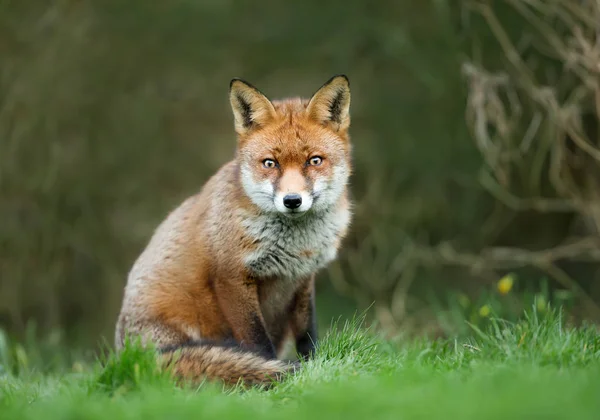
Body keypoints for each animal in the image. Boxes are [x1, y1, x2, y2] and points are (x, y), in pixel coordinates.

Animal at [113, 74, 352, 388]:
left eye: (314, 160)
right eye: (270, 163)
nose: (292, 200)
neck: (295, 245)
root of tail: (122, 357)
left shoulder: (302, 278)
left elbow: (307, 335)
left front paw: (315, 368)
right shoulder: (231, 277)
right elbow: (258, 343)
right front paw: (273, 372)